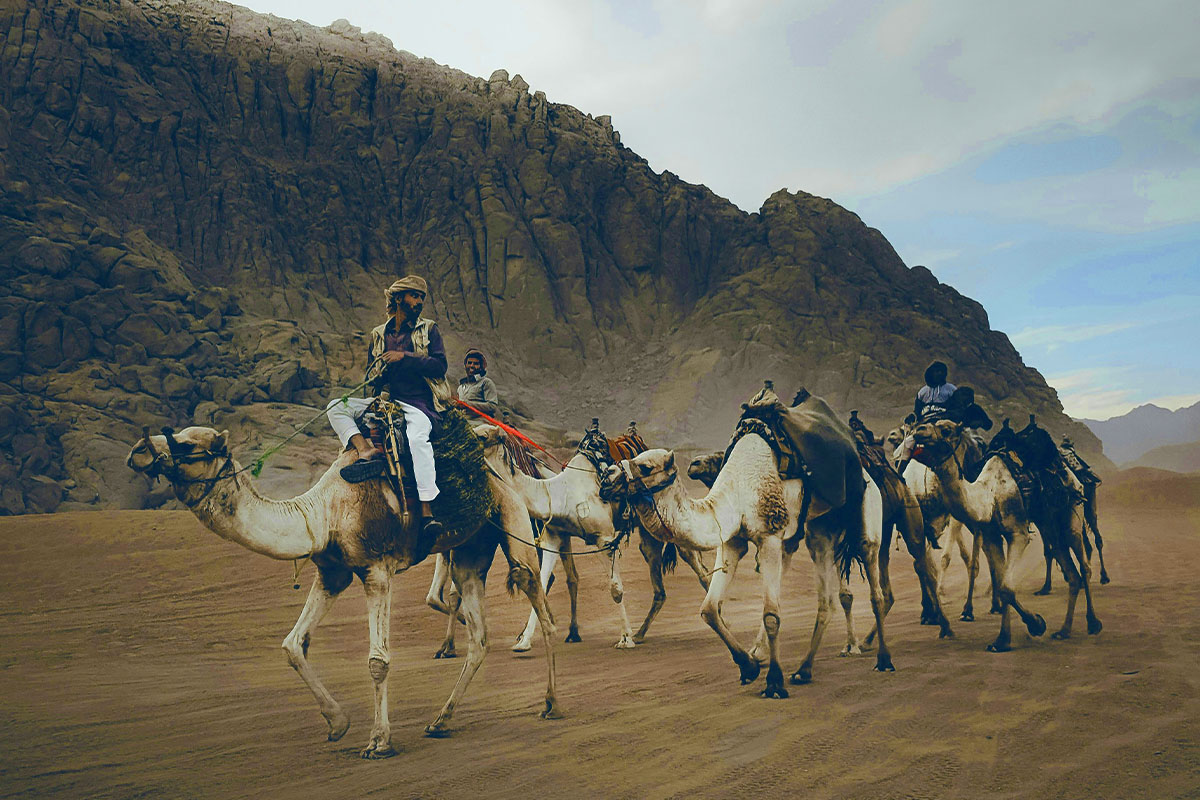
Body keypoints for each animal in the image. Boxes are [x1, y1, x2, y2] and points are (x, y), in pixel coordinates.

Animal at [127, 424, 561, 758]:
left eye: (187, 445)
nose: (137, 451)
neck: (322, 515)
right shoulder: (332, 572)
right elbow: (292, 644)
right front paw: (337, 724)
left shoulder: (377, 571)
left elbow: (378, 661)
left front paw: (379, 742)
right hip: (469, 549)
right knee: (480, 638)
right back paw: (441, 720)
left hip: (514, 521)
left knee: (538, 601)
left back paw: (551, 703)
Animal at [609, 429, 892, 695]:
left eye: (646, 466)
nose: (608, 477)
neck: (736, 492)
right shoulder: (732, 541)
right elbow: (709, 609)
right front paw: (748, 666)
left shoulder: (770, 537)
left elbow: (771, 615)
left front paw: (774, 683)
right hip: (819, 531)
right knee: (826, 601)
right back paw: (803, 670)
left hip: (867, 521)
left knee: (875, 588)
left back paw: (883, 659)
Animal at [907, 419, 1099, 652]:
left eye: (946, 429)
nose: (919, 430)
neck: (989, 495)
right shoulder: (991, 536)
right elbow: (1001, 582)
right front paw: (1005, 639)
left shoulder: (1018, 533)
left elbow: (1007, 587)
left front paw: (1034, 625)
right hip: (1049, 525)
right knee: (1070, 571)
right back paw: (1063, 631)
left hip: (1072, 513)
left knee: (1084, 565)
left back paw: (1093, 623)